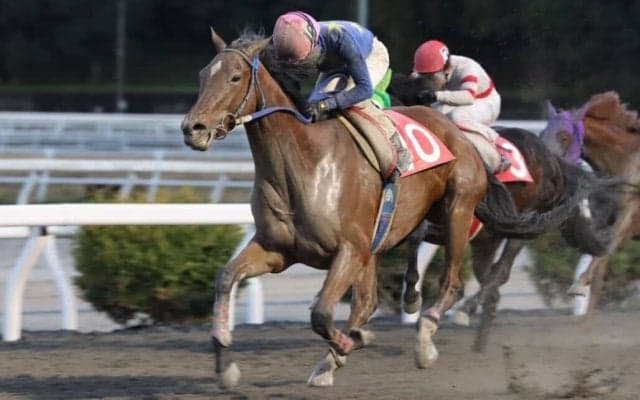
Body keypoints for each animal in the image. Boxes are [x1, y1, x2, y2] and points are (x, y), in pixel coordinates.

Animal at [181, 31, 583, 388]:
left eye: (235, 77)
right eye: (202, 75)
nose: (192, 128)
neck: (304, 163)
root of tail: (457, 133)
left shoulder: (351, 249)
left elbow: (321, 313)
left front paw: (352, 342)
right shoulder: (277, 250)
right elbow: (226, 278)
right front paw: (226, 366)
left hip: (458, 211)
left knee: (452, 284)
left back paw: (425, 340)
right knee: (375, 298)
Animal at [389, 73, 616, 351]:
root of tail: (552, 160)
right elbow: (414, 242)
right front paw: (412, 298)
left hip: (523, 224)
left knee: (500, 273)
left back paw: (467, 311)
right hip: (488, 238)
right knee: (492, 284)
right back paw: (479, 339)